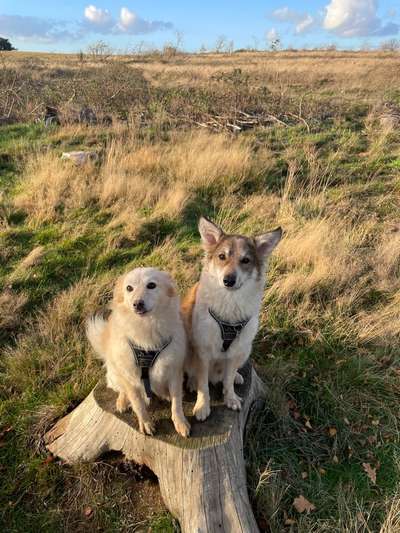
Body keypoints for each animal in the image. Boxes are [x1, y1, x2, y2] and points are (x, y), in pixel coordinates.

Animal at [87, 266, 191, 436]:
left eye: (151, 285)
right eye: (129, 288)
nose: (137, 304)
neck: (147, 327)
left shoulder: (174, 370)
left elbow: (177, 403)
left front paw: (180, 422)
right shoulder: (130, 376)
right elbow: (138, 404)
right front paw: (146, 423)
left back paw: (164, 393)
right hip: (115, 373)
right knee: (121, 389)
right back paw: (122, 401)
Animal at [183, 216, 282, 420]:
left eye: (245, 260)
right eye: (222, 257)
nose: (229, 280)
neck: (229, 302)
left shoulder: (236, 350)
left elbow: (227, 381)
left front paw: (231, 398)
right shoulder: (203, 351)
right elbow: (203, 385)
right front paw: (202, 406)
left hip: (245, 349)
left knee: (230, 372)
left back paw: (236, 376)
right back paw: (192, 382)